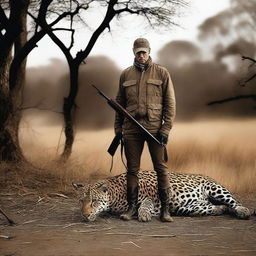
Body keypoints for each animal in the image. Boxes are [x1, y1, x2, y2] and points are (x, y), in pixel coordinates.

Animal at [73, 170, 250, 222]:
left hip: (215, 188)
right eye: (81, 201)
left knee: (234, 202)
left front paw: (144, 214)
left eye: (94, 201)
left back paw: (243, 211)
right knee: (215, 207)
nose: (84, 215)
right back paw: (221, 209)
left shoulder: (152, 190)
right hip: (188, 208)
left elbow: (147, 201)